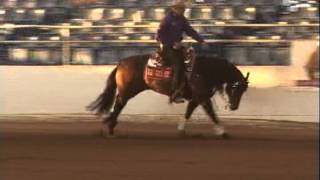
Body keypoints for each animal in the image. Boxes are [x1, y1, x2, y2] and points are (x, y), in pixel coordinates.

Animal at [87, 52, 250, 137]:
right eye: (235, 88)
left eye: (243, 90)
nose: (234, 107)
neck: (203, 70)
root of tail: (121, 63)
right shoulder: (203, 98)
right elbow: (211, 114)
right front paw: (222, 131)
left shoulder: (196, 98)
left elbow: (188, 112)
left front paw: (181, 129)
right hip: (127, 91)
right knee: (118, 105)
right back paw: (110, 127)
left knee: (118, 105)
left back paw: (111, 126)